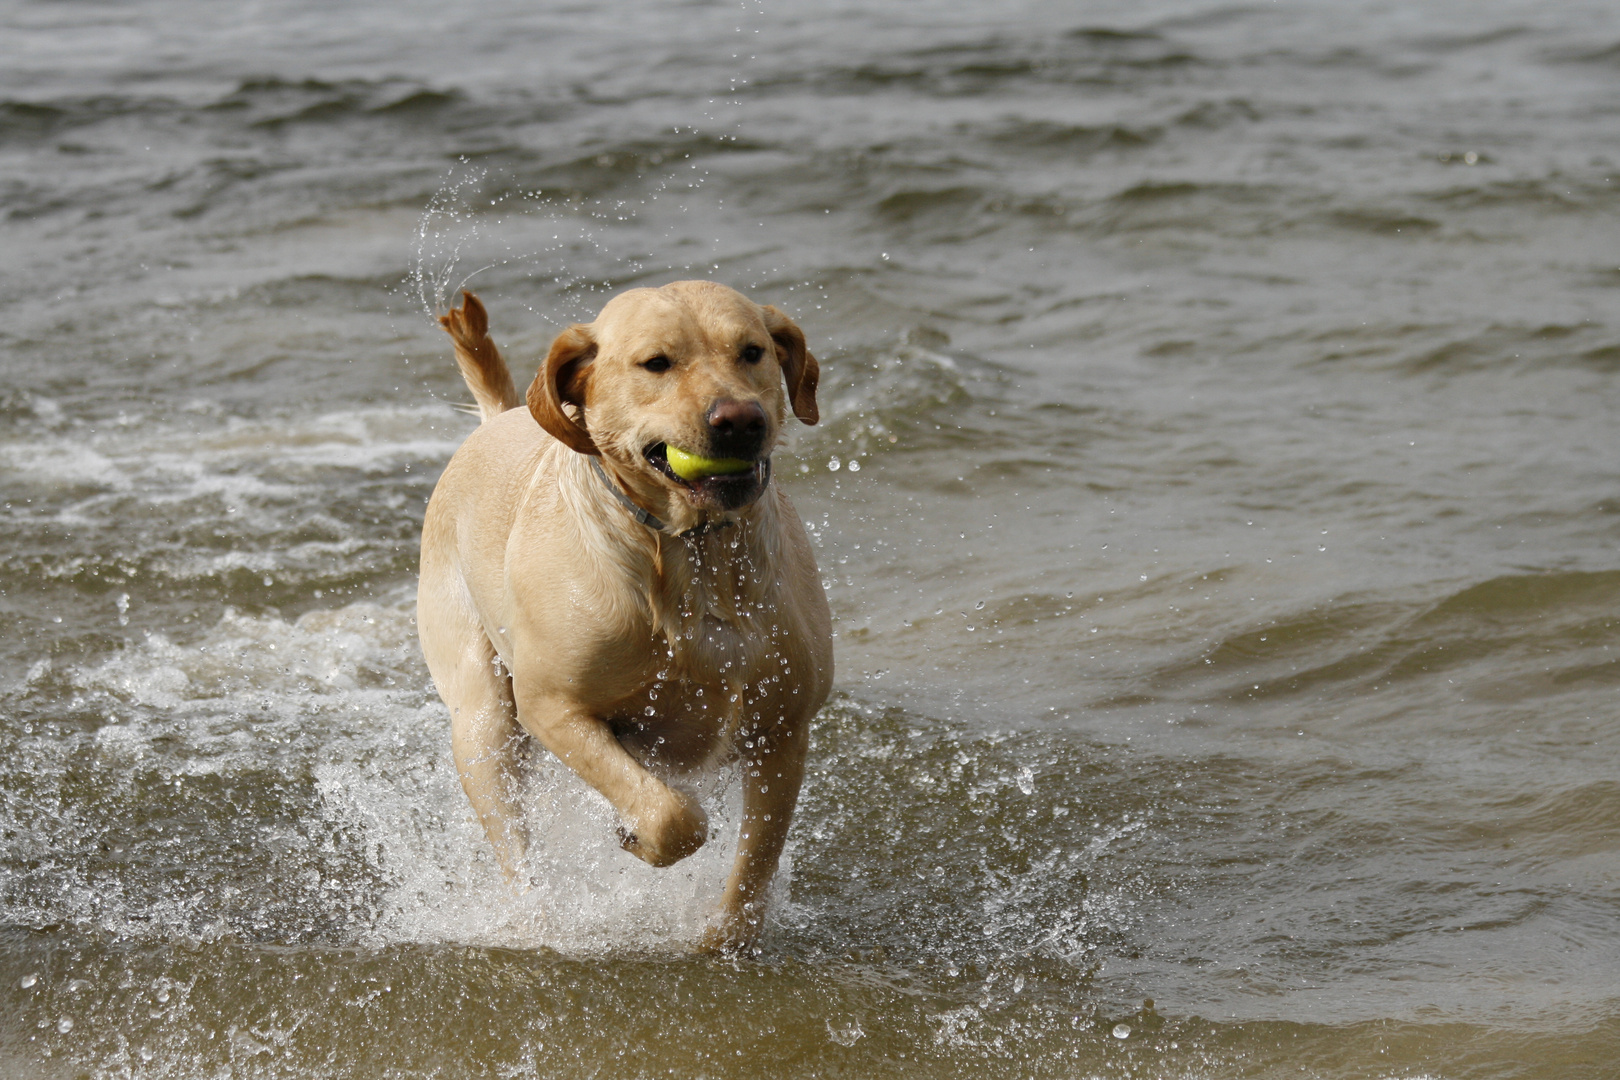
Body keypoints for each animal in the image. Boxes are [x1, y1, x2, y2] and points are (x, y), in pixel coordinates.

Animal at [417, 283, 835, 952]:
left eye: (752, 352)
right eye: (656, 363)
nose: (740, 419)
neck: (691, 553)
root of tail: (499, 418)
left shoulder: (784, 727)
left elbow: (755, 862)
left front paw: (725, 942)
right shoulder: (553, 706)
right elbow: (671, 815)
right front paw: (639, 832)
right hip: (483, 720)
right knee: (513, 842)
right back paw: (534, 921)